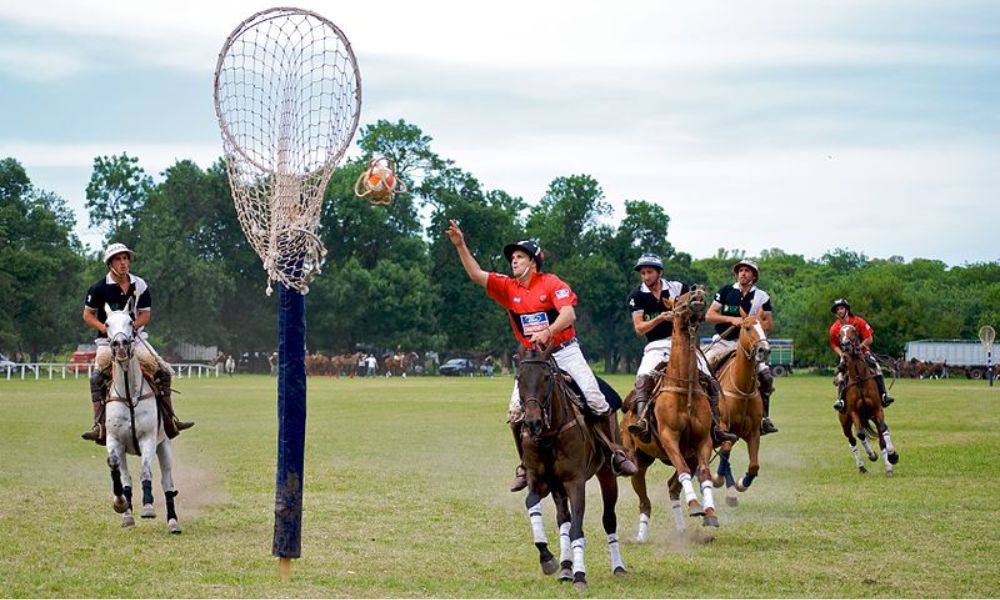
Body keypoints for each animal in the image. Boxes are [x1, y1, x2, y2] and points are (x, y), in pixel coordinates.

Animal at [102, 302, 181, 532]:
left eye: (130, 321)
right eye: (106, 323)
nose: (120, 345)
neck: (129, 395)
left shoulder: (148, 439)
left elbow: (146, 472)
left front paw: (148, 507)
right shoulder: (114, 440)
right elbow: (115, 467)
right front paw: (120, 503)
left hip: (164, 445)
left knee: (167, 482)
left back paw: (173, 522)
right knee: (126, 477)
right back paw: (127, 514)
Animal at [516, 344, 624, 592]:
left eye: (546, 378)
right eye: (519, 379)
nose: (532, 422)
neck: (548, 435)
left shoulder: (575, 482)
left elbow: (577, 528)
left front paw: (580, 576)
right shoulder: (538, 479)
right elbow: (532, 504)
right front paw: (548, 559)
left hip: (607, 474)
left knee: (609, 519)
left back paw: (618, 567)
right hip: (557, 487)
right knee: (563, 519)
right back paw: (566, 567)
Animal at [616, 284, 720, 540]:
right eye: (677, 300)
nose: (697, 290)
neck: (685, 387)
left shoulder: (703, 440)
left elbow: (704, 473)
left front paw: (709, 513)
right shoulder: (668, 436)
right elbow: (681, 469)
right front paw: (696, 506)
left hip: (687, 455)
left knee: (673, 487)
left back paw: (682, 527)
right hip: (637, 460)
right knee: (644, 501)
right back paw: (641, 536)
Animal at [708, 312, 768, 508]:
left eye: (764, 327)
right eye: (747, 327)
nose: (764, 350)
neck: (742, 389)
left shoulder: (753, 431)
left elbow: (754, 466)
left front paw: (742, 484)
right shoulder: (724, 426)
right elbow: (725, 452)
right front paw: (718, 479)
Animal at [836, 322, 900, 476]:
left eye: (853, 331)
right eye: (839, 334)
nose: (845, 344)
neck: (859, 379)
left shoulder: (877, 409)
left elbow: (883, 430)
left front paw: (892, 457)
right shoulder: (854, 412)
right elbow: (860, 434)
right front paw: (872, 455)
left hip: (871, 415)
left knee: (882, 435)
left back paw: (889, 464)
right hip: (845, 420)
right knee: (852, 439)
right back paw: (862, 466)